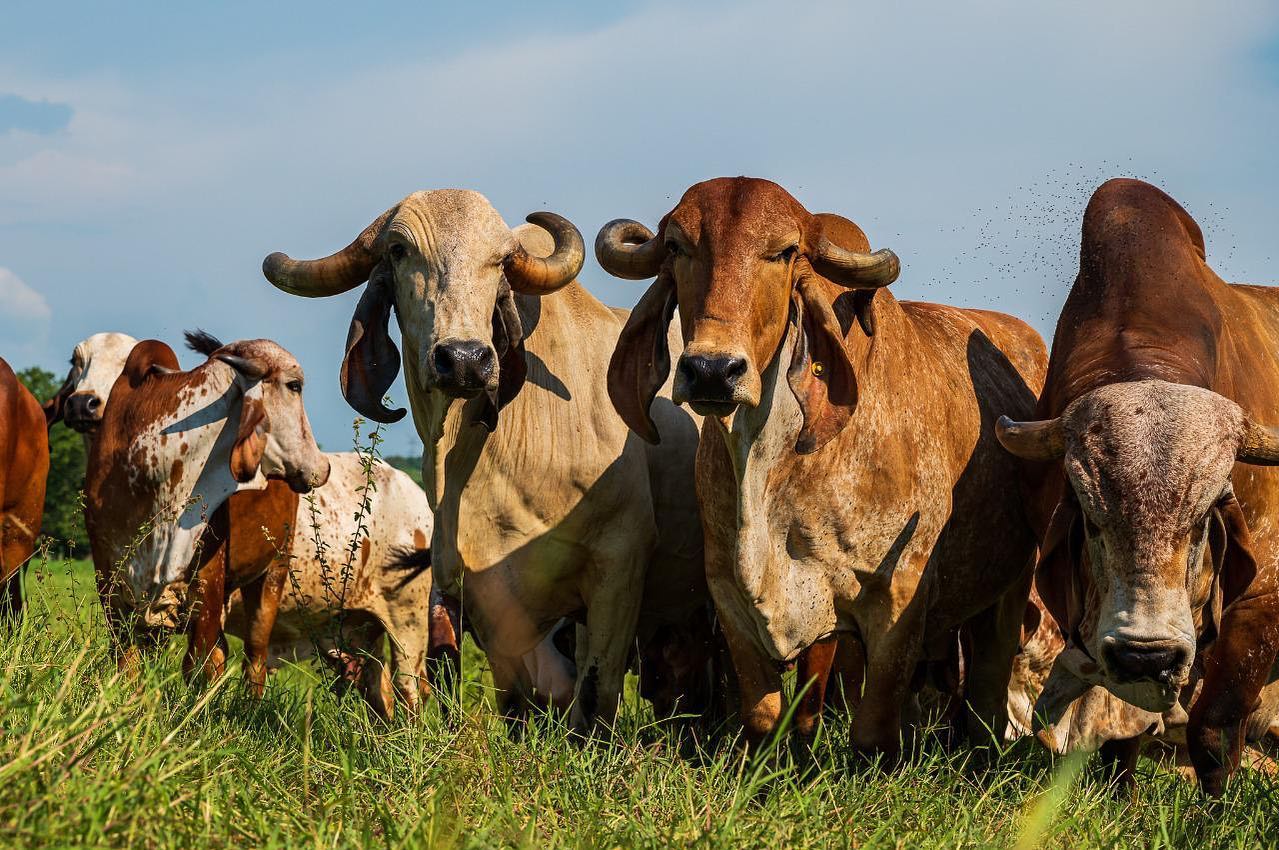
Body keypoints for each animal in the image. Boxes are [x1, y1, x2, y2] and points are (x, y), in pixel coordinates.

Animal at [264, 190, 716, 731]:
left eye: (500, 261)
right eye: (398, 251)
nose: (463, 360)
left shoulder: (618, 567)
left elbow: (596, 692)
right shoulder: (476, 595)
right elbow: (513, 701)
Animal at [593, 173, 1043, 756]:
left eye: (785, 252)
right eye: (676, 246)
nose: (712, 370)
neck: (770, 462)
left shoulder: (897, 599)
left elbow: (872, 730)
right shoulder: (729, 596)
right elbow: (765, 715)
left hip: (1009, 595)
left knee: (988, 691)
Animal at [997, 175, 1279, 792]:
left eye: (1202, 522)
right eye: (1093, 522)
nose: (1148, 655)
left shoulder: (1261, 600)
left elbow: (1215, 729)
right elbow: (1119, 733)